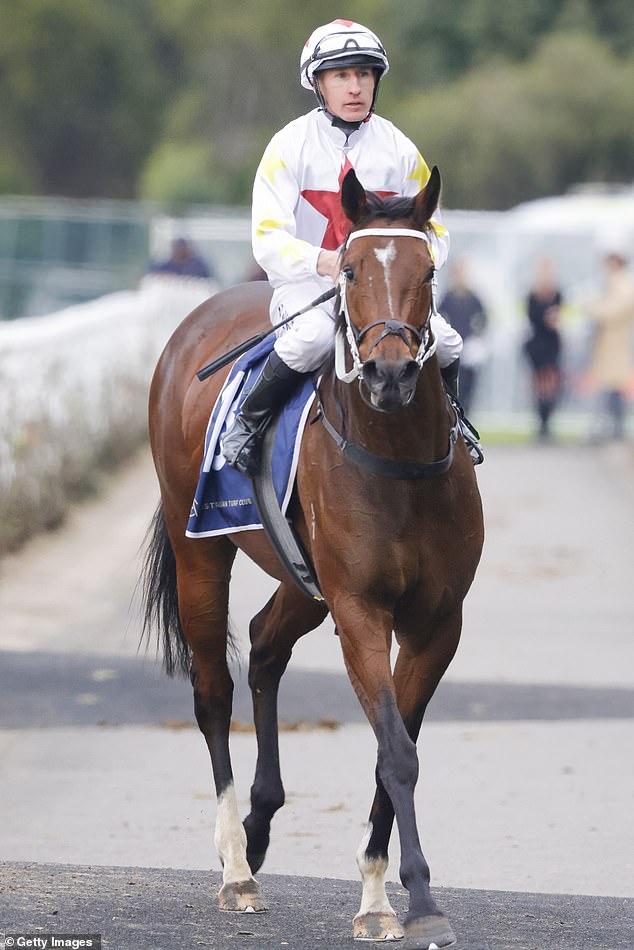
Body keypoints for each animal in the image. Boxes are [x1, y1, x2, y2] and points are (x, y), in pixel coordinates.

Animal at [141, 167, 482, 948]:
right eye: (349, 269)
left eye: (429, 270)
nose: (389, 374)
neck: (400, 464)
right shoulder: (359, 608)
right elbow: (397, 751)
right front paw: (417, 898)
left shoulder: (436, 621)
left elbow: (397, 744)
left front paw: (378, 895)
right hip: (199, 549)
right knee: (213, 692)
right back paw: (237, 867)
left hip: (302, 578)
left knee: (266, 645)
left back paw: (260, 825)